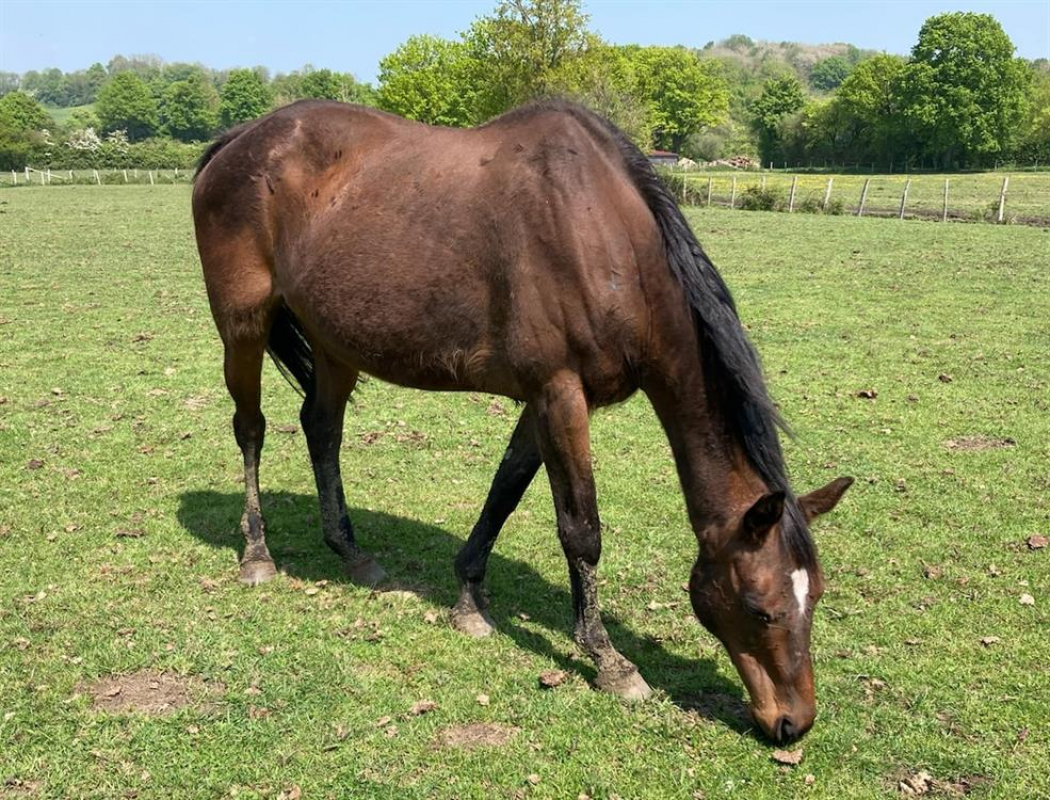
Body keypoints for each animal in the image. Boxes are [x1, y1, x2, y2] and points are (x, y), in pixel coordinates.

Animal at [191, 98, 852, 744]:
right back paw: (257, 553)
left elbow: (504, 493)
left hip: (334, 344)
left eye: (815, 596)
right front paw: (609, 660)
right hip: (243, 324)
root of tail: (237, 141)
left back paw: (351, 552)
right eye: (760, 607)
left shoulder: (544, 400)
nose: (792, 723)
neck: (602, 236)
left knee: (322, 428)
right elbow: (581, 530)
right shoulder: (559, 393)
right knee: (251, 428)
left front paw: (467, 600)